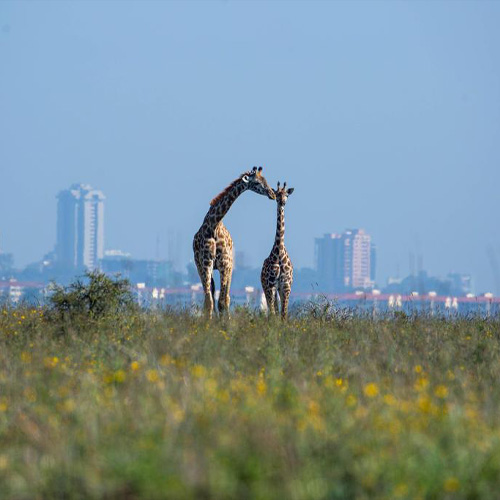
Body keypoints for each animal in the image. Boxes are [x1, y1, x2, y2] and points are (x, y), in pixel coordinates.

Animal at [193, 167, 276, 316]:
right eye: (257, 183)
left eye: (265, 180)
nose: (272, 194)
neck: (213, 226)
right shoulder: (206, 264)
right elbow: (209, 302)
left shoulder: (225, 264)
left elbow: (222, 302)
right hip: (201, 267)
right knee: (212, 295)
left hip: (229, 267)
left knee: (226, 298)